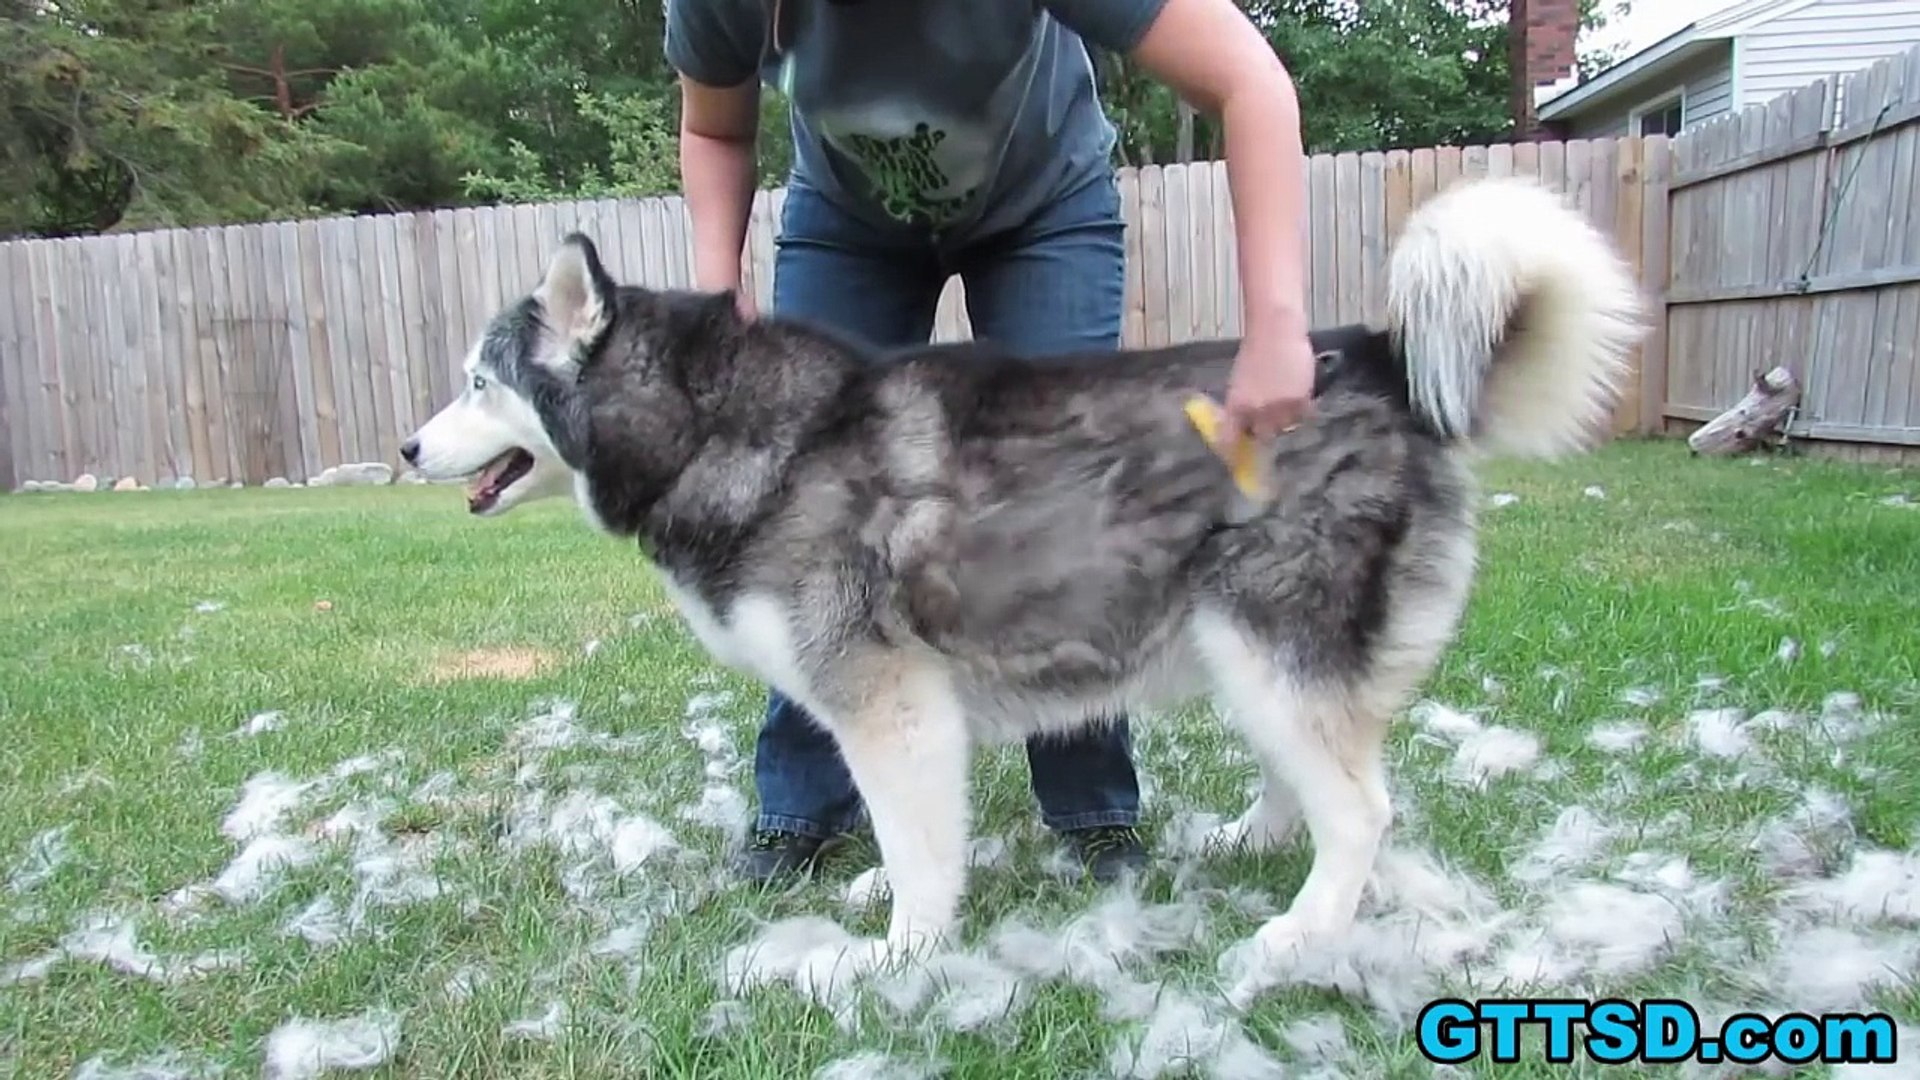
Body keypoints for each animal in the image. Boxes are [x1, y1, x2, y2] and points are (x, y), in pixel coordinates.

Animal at [397, 174, 1643, 968]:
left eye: (476, 382)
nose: (406, 449)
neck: (720, 431)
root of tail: (1375, 357)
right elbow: (907, 836)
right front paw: (888, 901)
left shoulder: (889, 703)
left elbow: (916, 845)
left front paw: (901, 953)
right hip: (1246, 655)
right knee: (1320, 780)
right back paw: (1256, 840)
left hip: (1267, 641)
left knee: (1366, 809)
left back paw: (1305, 930)